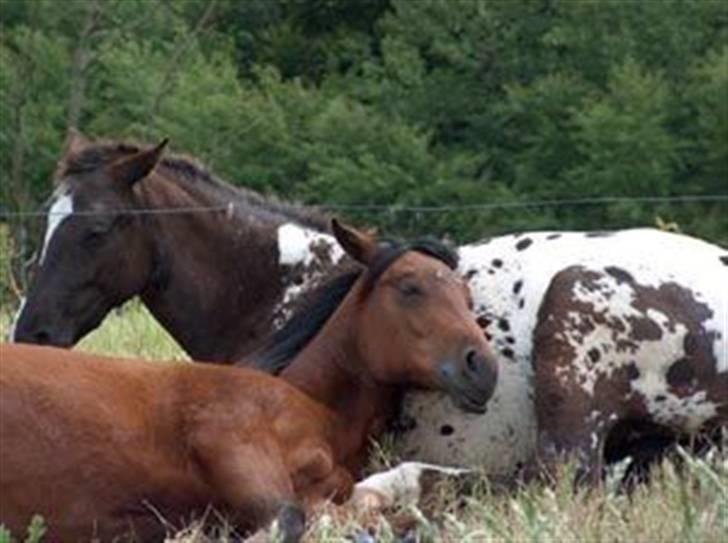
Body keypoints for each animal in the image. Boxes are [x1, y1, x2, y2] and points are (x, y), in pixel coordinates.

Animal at [0, 222, 498, 543]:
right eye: (409, 287)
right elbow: (294, 520)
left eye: (466, 295)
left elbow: (391, 491)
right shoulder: (232, 445)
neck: (314, 407)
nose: (483, 368)